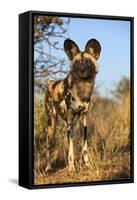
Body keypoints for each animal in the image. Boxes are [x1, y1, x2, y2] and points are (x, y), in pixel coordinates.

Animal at [44, 38, 100, 171]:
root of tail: (51, 83)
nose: (82, 70)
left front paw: (87, 165)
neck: (82, 90)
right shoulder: (70, 121)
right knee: (48, 146)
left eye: (88, 62)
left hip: (67, 124)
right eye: (77, 63)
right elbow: (71, 149)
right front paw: (72, 168)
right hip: (52, 124)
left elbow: (84, 147)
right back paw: (48, 168)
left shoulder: (83, 121)